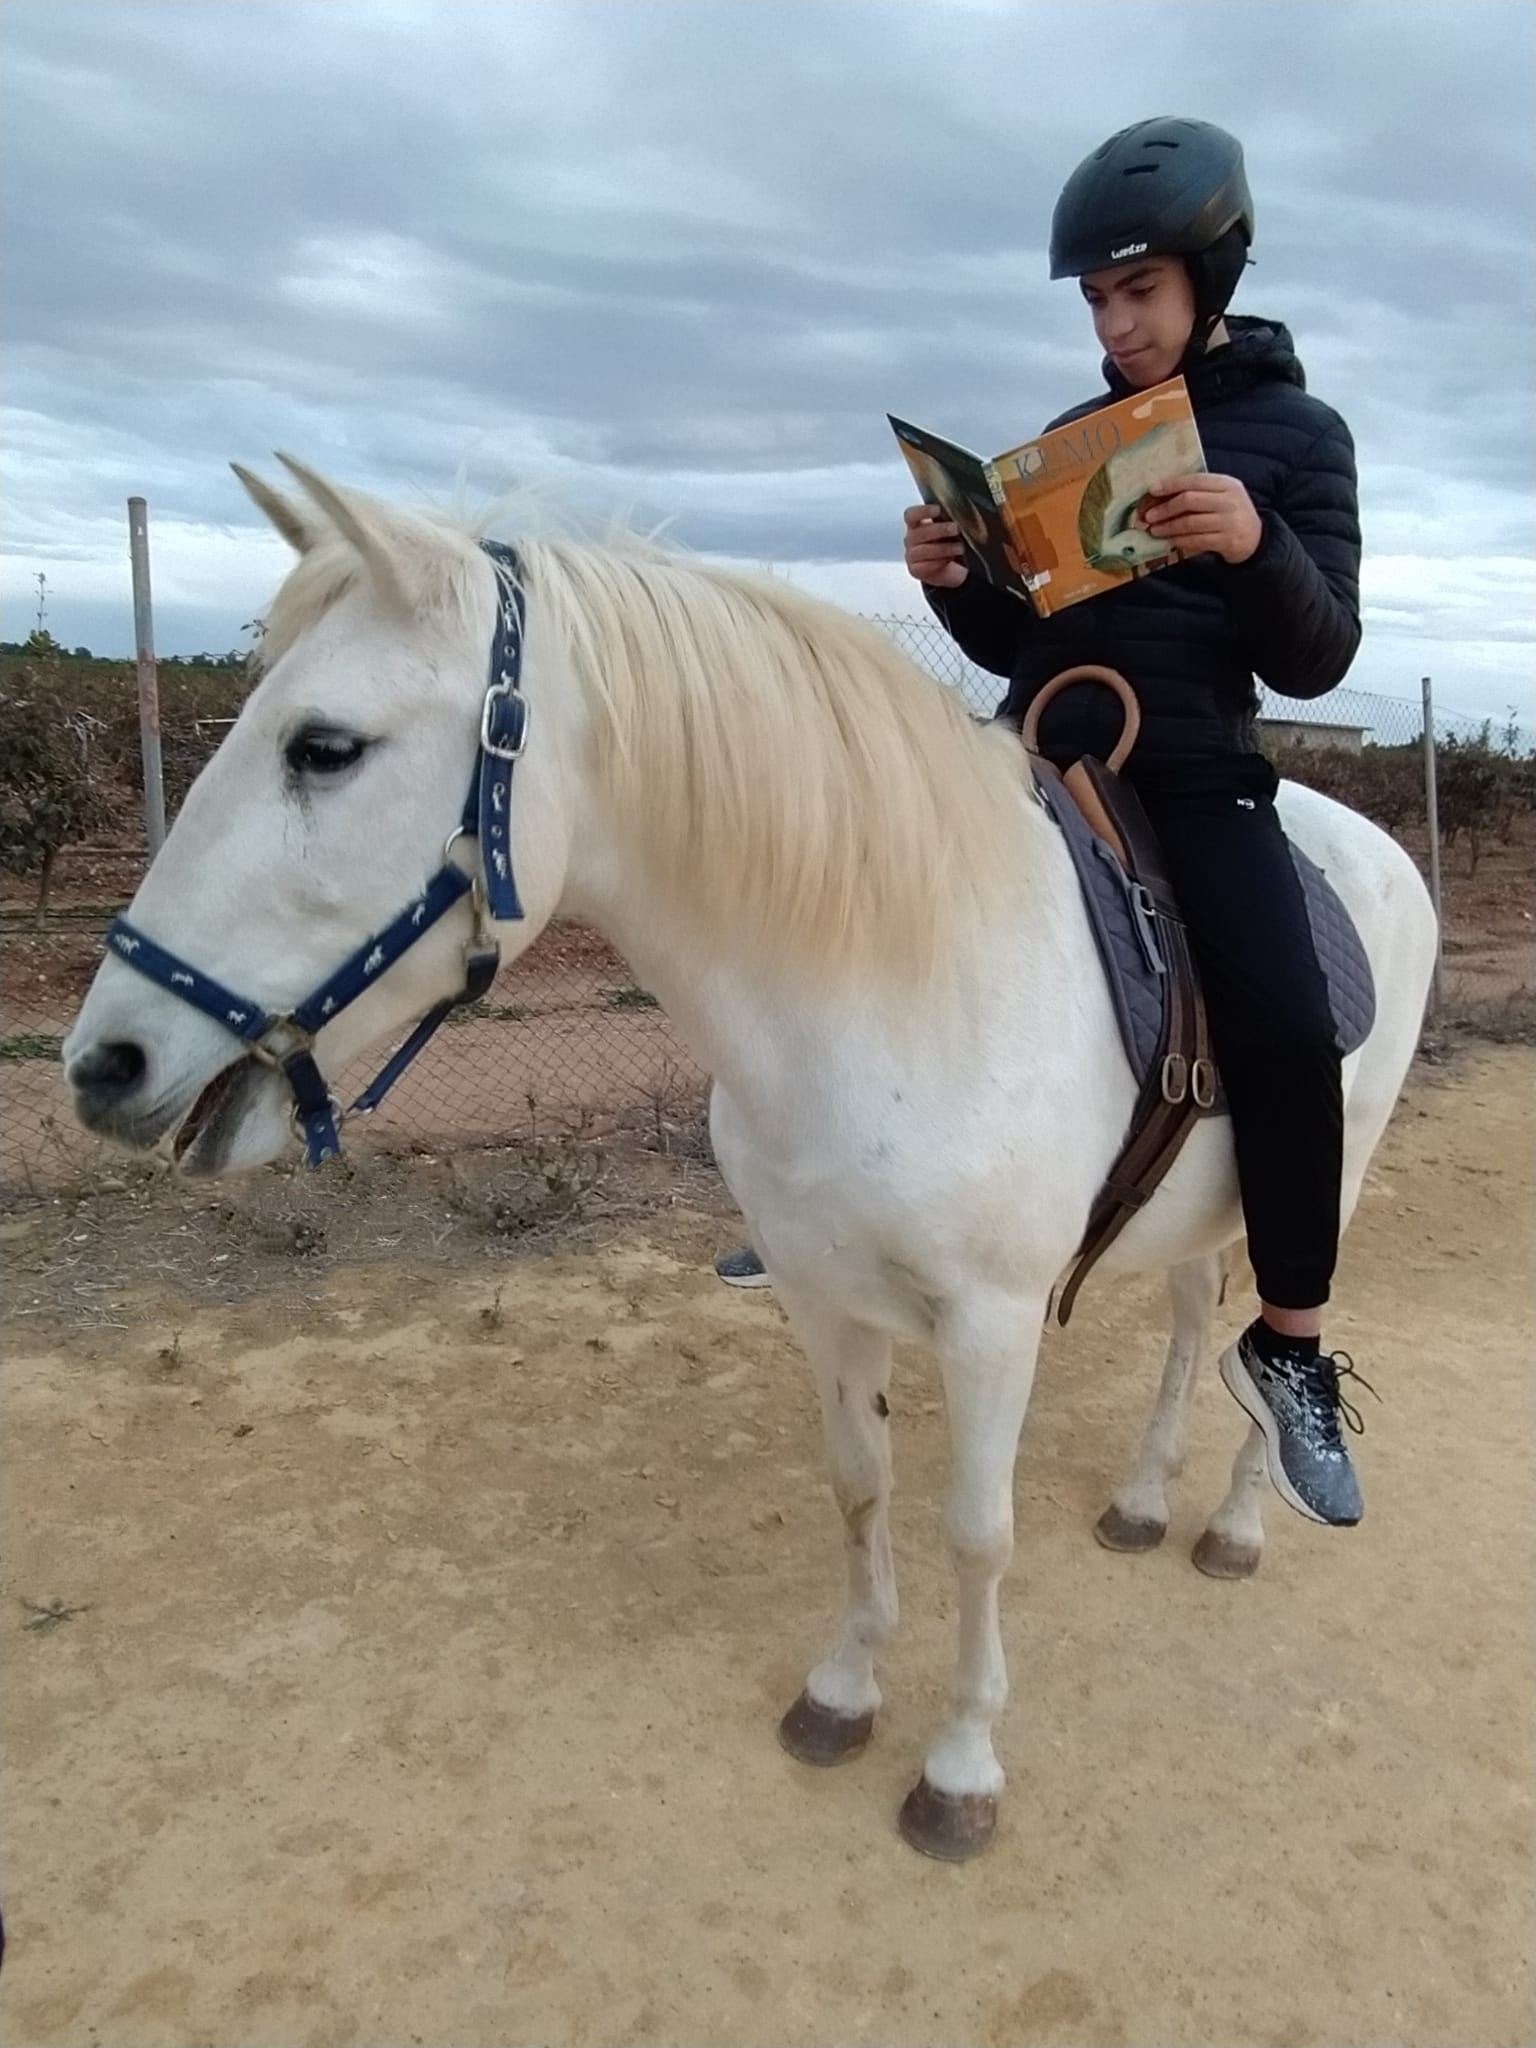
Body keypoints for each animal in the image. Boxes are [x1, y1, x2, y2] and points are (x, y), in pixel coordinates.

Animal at [66, 464, 1441, 1859]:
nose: (104, 1063)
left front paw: (961, 1764)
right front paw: (844, 1691)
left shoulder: (991, 1322)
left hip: (1325, 1180)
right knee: (1191, 1320)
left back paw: (1239, 1519)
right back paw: (1147, 1498)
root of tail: (1372, 845)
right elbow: (861, 1487)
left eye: (324, 747)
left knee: (1275, 1346)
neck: (896, 973)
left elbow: (977, 1534)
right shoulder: (823, 1295)